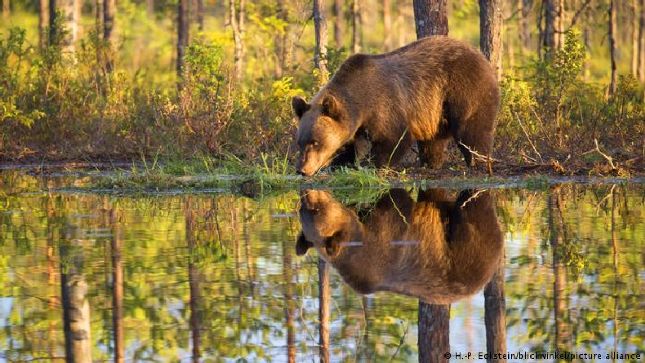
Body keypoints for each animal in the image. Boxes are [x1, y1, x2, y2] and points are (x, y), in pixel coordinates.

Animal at [290, 35, 498, 176]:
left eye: (315, 142)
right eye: (300, 142)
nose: (302, 169)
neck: (361, 104)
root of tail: (481, 56)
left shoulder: (385, 105)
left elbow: (394, 138)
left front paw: (373, 164)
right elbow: (348, 147)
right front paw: (342, 163)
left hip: (464, 89)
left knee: (472, 130)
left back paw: (478, 161)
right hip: (435, 111)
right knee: (433, 140)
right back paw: (431, 163)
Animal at [296, 188, 504, 304]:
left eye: (313, 209)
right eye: (308, 209)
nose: (306, 194)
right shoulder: (386, 237)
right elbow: (397, 201)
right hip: (468, 248)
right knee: (472, 213)